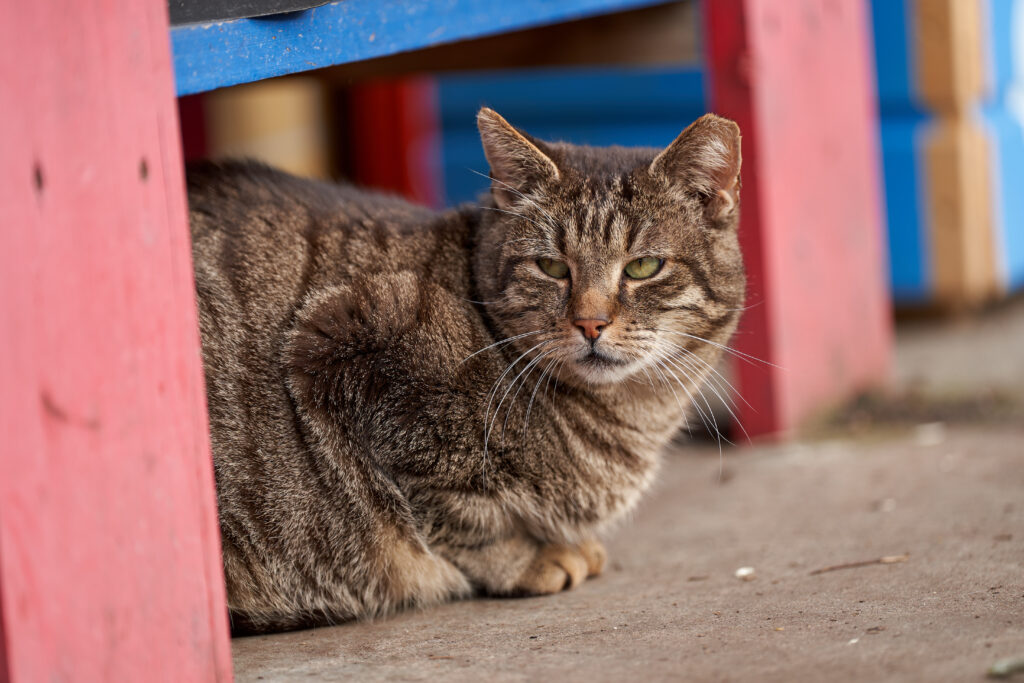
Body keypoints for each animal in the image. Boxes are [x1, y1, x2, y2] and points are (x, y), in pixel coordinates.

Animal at [186, 107, 745, 634]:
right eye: (552, 267)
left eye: (643, 267)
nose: (590, 323)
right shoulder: (350, 343)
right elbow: (458, 511)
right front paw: (527, 558)